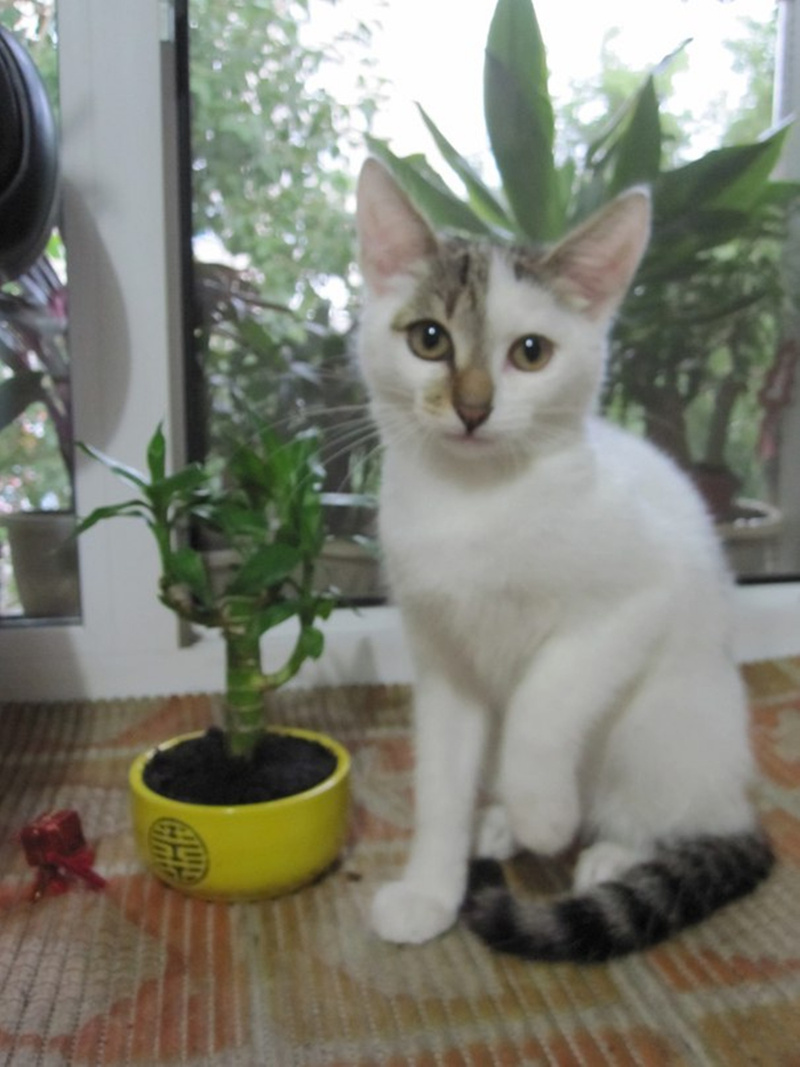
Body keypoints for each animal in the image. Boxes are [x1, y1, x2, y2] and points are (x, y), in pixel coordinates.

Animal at [354, 157, 774, 962]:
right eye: (429, 338)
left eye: (531, 352)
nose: (473, 407)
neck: (475, 502)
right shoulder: (442, 660)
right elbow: (441, 780)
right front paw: (431, 887)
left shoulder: (638, 596)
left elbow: (542, 700)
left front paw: (544, 812)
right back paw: (495, 825)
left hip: (665, 722)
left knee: (679, 813)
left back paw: (614, 850)